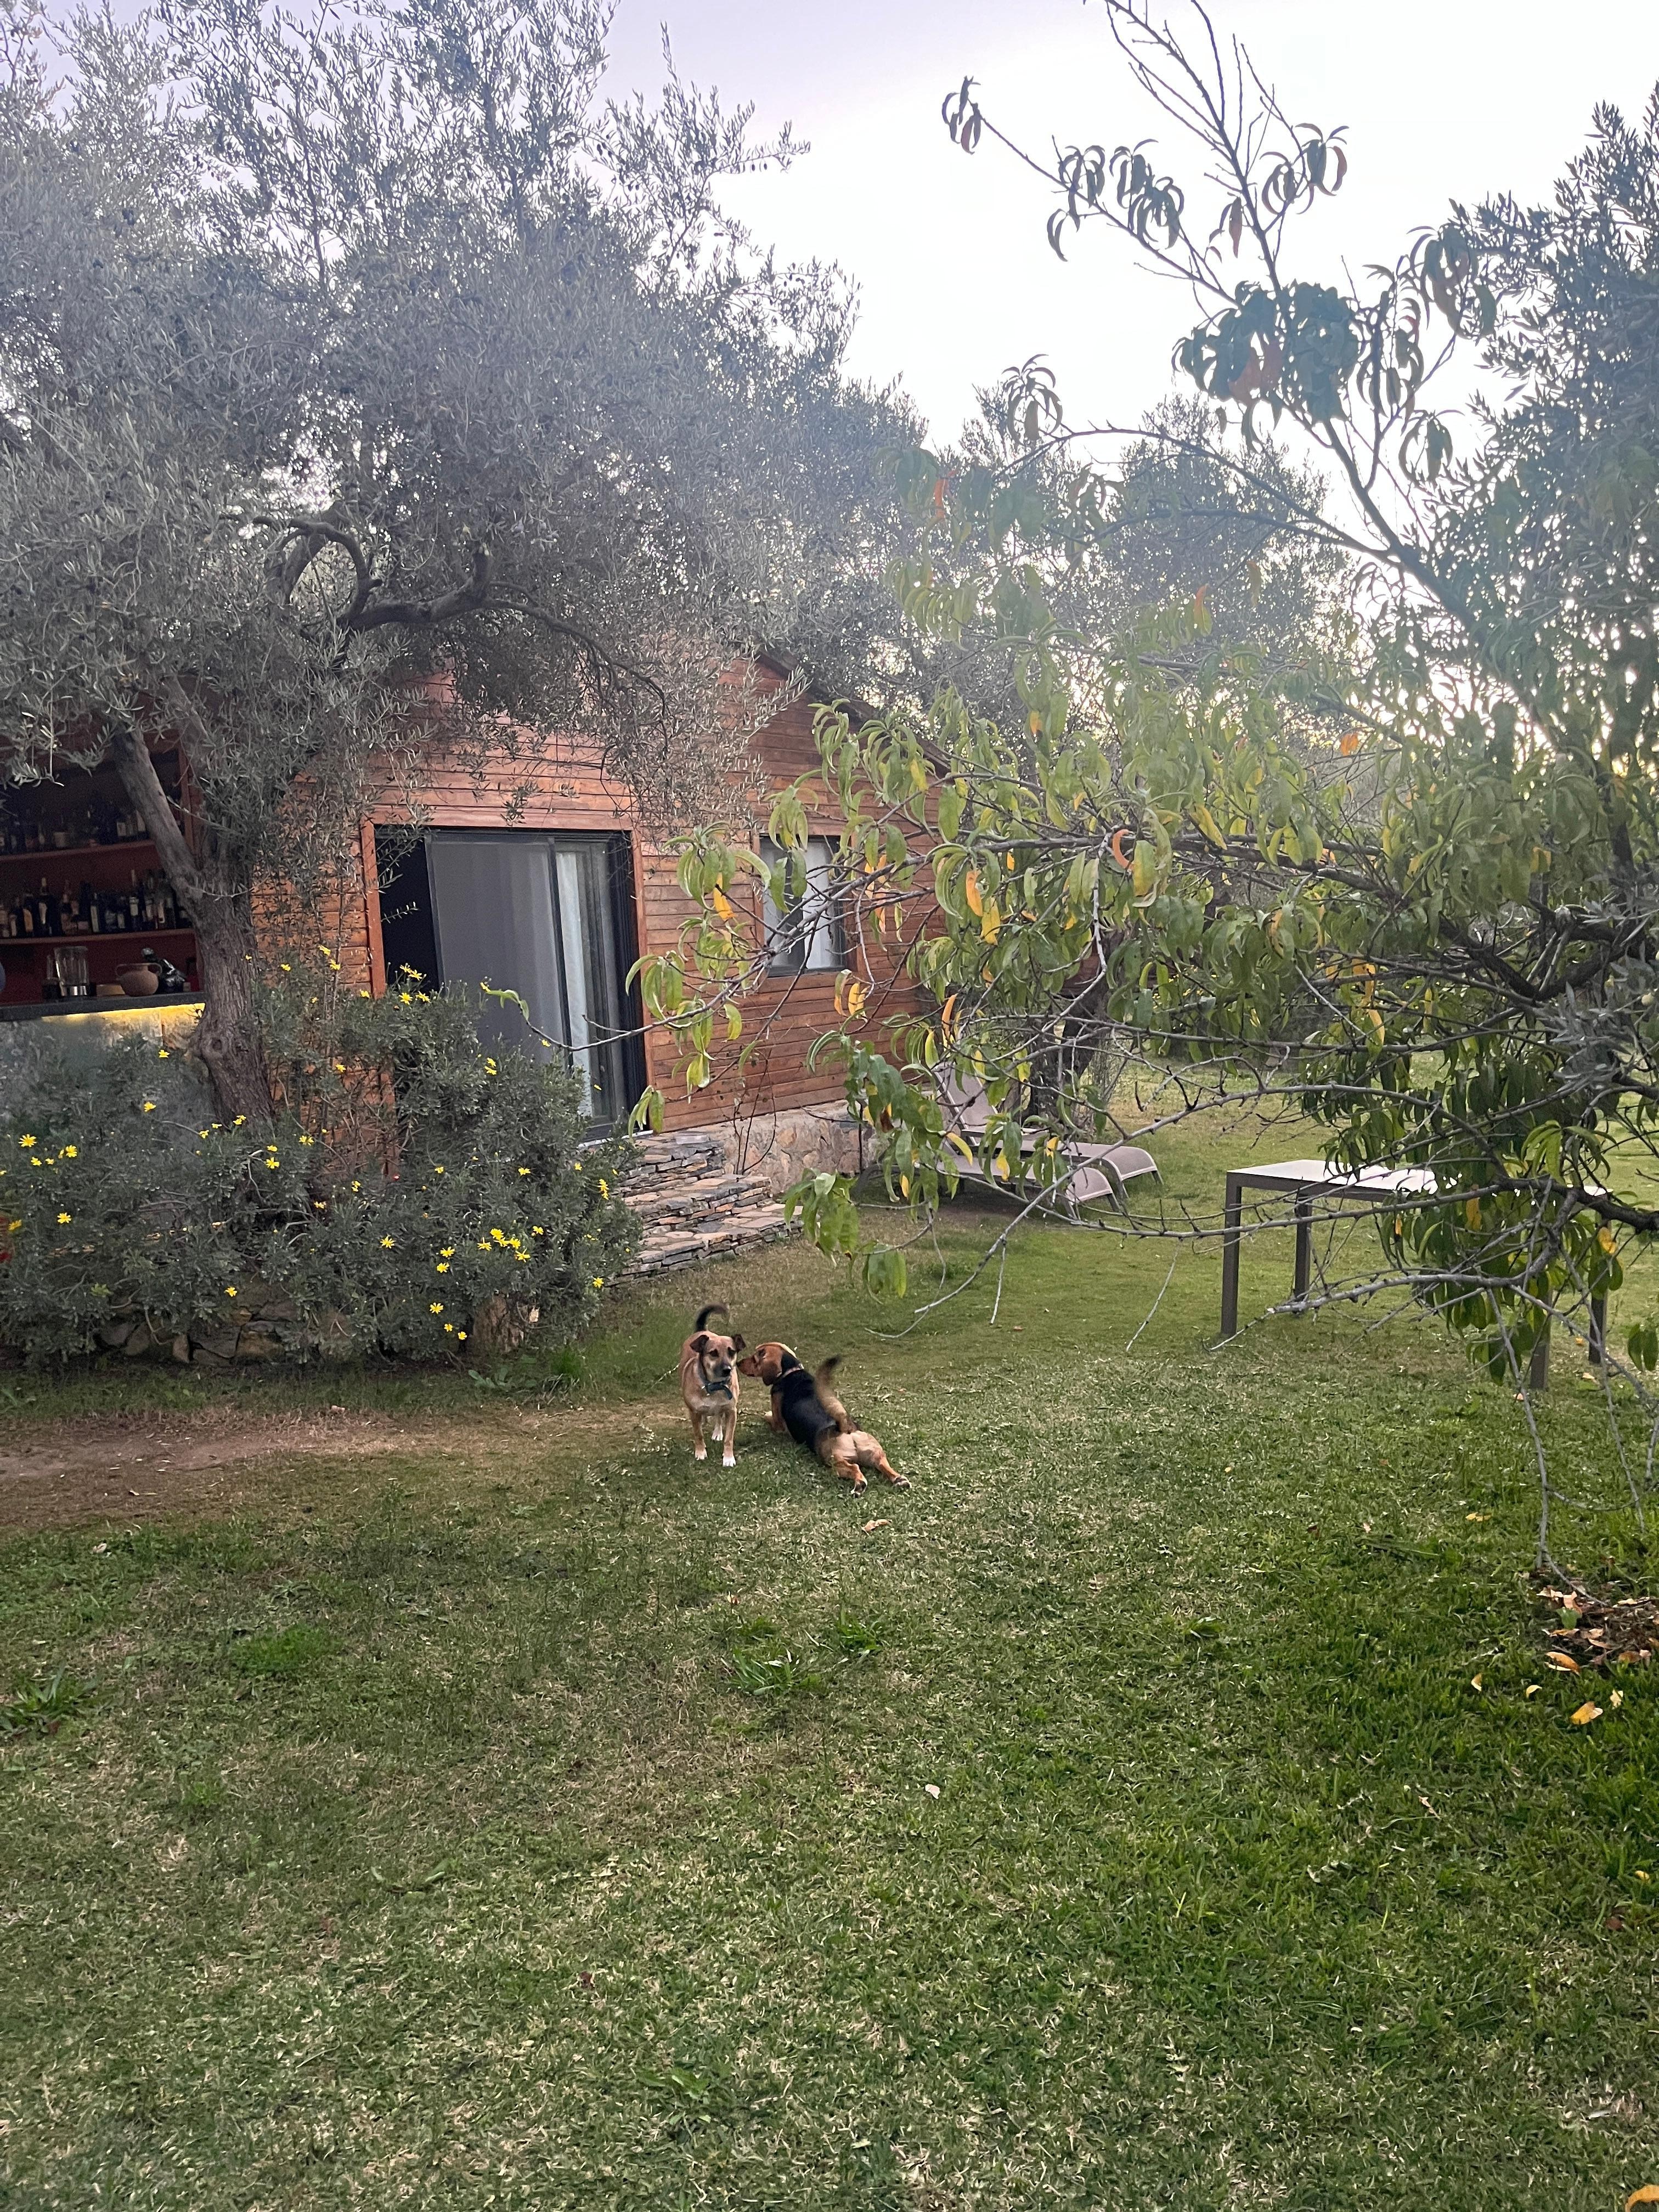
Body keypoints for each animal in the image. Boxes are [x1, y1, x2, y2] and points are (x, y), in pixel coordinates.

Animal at [680, 1303, 745, 1467]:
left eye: (732, 1352)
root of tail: (702, 1331)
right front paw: (700, 1452)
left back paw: (717, 1432)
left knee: (718, 1417)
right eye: (713, 1353)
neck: (715, 1385)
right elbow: (698, 1434)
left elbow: (729, 1438)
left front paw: (728, 1458)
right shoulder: (694, 1412)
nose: (727, 1370)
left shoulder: (731, 1411)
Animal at [736, 1342, 909, 1496]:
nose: (737, 1363)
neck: (791, 1371)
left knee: (855, 1468)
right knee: (882, 1464)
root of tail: (845, 1427)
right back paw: (899, 1480)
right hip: (875, 1451)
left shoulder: (778, 1424)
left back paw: (860, 1485)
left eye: (755, 1358)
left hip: (834, 1461)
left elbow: (768, 1416)